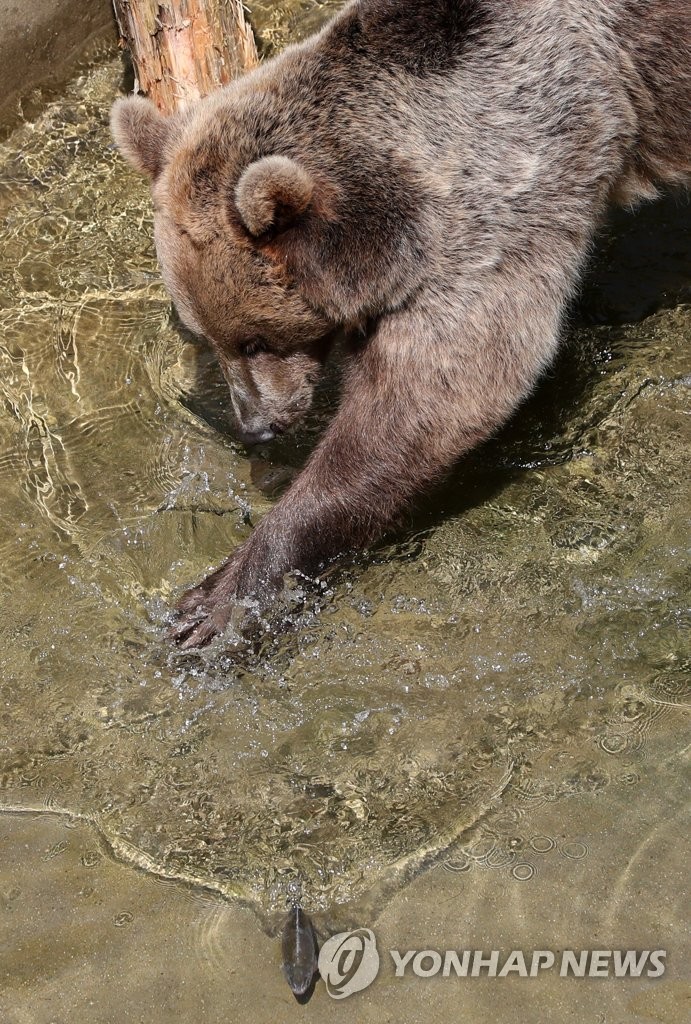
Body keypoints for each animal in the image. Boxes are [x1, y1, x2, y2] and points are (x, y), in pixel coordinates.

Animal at [109, 0, 691, 643]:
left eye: (254, 339)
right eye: (209, 339)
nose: (257, 426)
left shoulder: (508, 191)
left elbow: (435, 394)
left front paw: (218, 603)